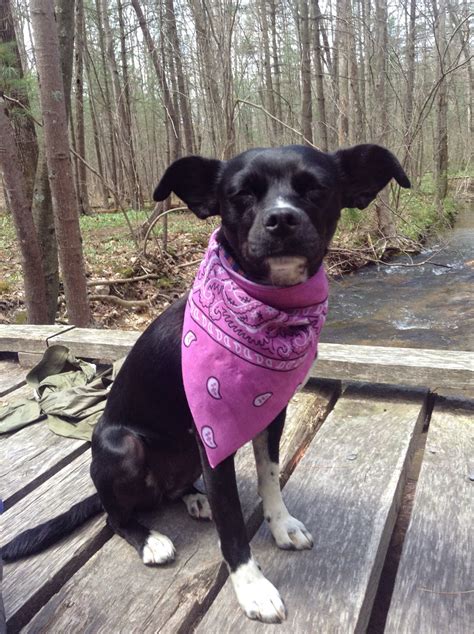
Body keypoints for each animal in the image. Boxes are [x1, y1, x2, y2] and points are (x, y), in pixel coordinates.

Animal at [2, 144, 408, 624]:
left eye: (315, 188)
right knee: (114, 517)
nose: (281, 219)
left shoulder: (270, 415)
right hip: (124, 446)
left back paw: (193, 499)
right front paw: (252, 588)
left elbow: (270, 478)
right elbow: (231, 521)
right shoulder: (214, 434)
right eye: (241, 194)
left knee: (168, 493)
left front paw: (281, 525)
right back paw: (150, 538)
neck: (266, 306)